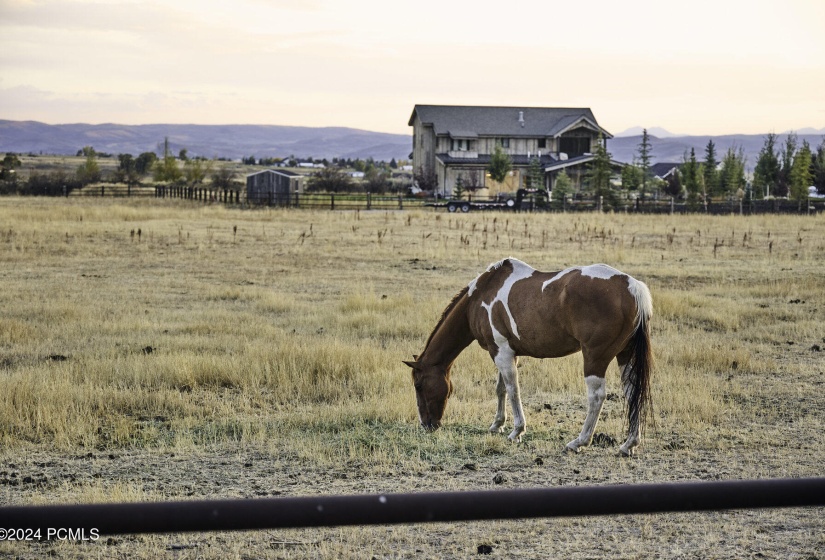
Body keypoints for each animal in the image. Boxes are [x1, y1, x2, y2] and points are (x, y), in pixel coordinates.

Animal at [402, 258, 652, 456]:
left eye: (418, 385)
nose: (427, 425)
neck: (481, 295)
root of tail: (632, 287)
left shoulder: (501, 352)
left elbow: (513, 390)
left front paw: (517, 431)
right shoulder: (506, 352)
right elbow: (501, 389)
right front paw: (497, 424)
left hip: (595, 358)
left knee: (597, 396)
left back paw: (579, 442)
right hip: (625, 356)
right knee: (632, 393)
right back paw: (628, 444)